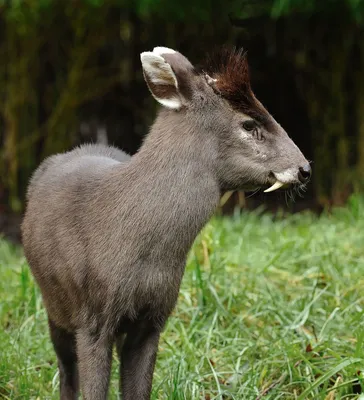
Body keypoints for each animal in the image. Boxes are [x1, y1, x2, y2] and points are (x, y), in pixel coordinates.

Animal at [21, 45, 312, 398]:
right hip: (55, 305)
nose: (304, 168)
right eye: (248, 124)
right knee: (66, 370)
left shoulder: (154, 318)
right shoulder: (92, 317)